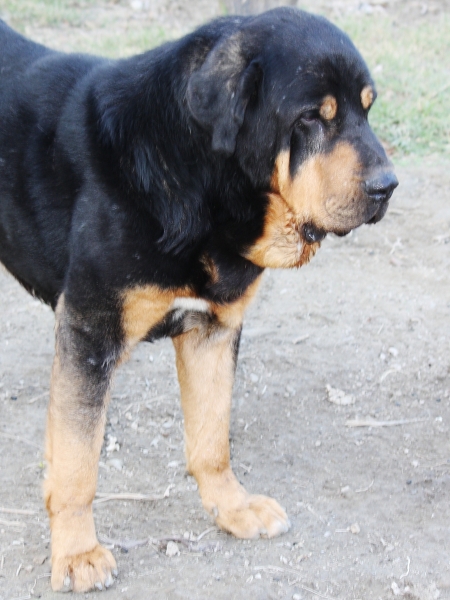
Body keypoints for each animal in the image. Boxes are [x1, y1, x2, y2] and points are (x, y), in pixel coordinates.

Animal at [0, 7, 398, 592]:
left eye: (367, 109)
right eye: (311, 118)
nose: (388, 186)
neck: (198, 185)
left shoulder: (213, 330)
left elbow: (212, 439)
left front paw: (232, 508)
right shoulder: (90, 331)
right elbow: (79, 460)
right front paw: (76, 551)